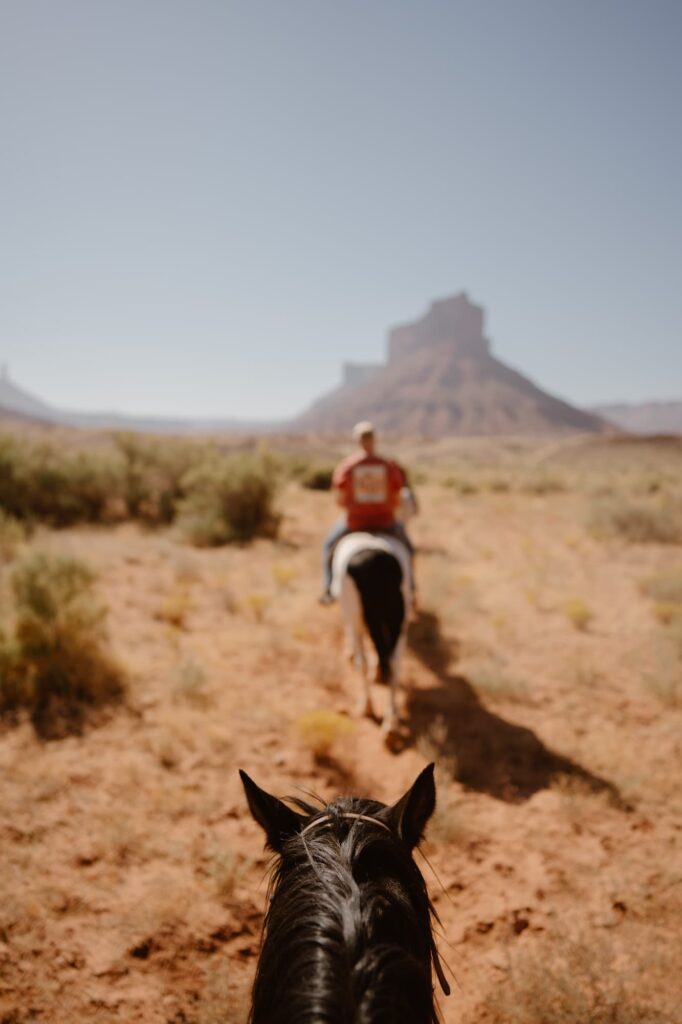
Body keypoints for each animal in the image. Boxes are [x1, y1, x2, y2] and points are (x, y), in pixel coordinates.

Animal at [327, 532, 409, 741]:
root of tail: (376, 559)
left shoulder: (351, 616)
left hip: (356, 612)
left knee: (363, 660)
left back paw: (367, 706)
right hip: (399, 619)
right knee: (394, 663)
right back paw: (390, 722)